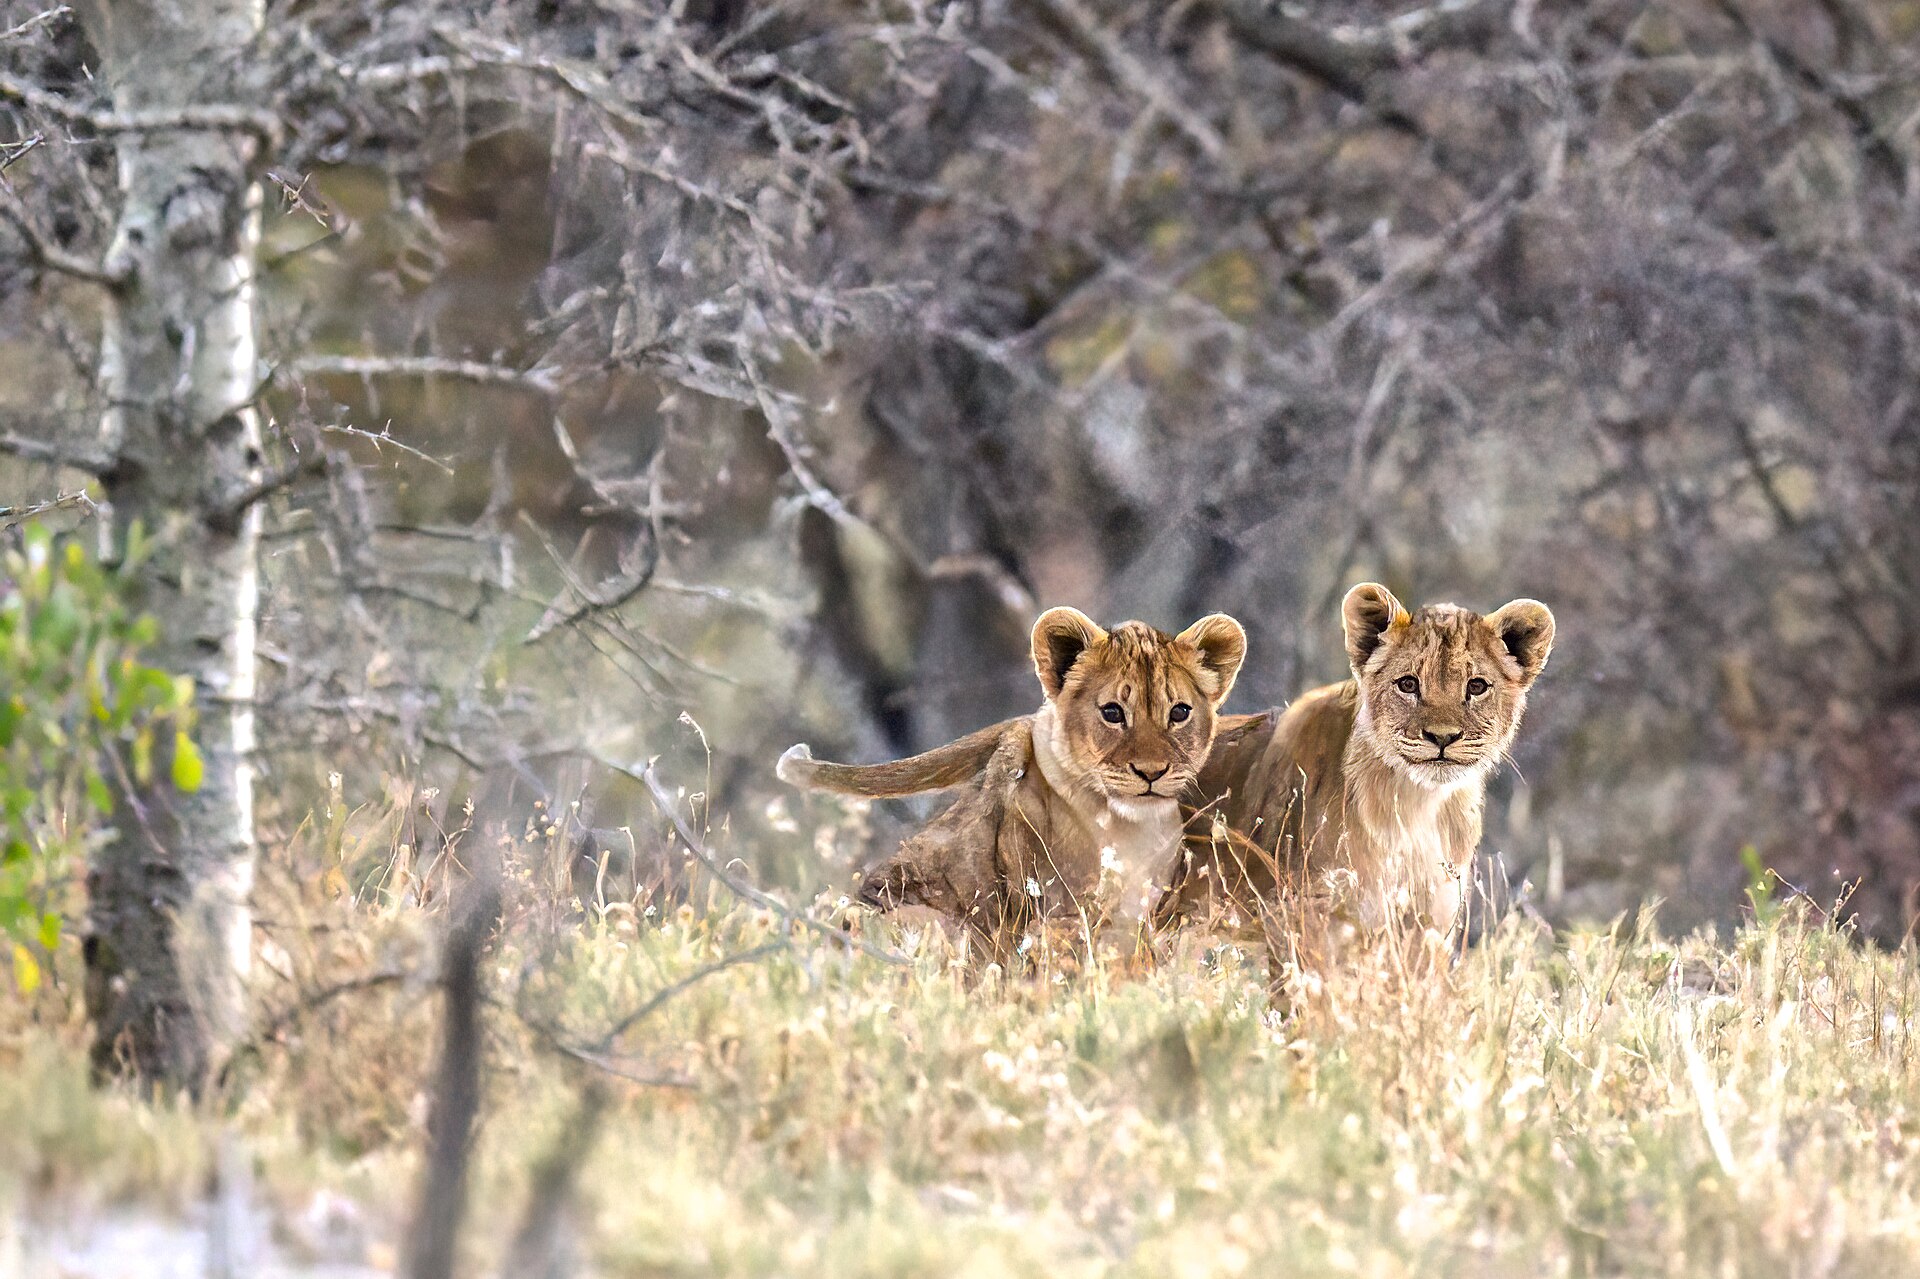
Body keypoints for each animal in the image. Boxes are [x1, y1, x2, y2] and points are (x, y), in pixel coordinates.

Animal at [1163, 583, 1554, 948]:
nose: (1442, 737)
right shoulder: (1307, 923)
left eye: (1476, 686)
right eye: (1408, 684)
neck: (1418, 807)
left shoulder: (1428, 931)